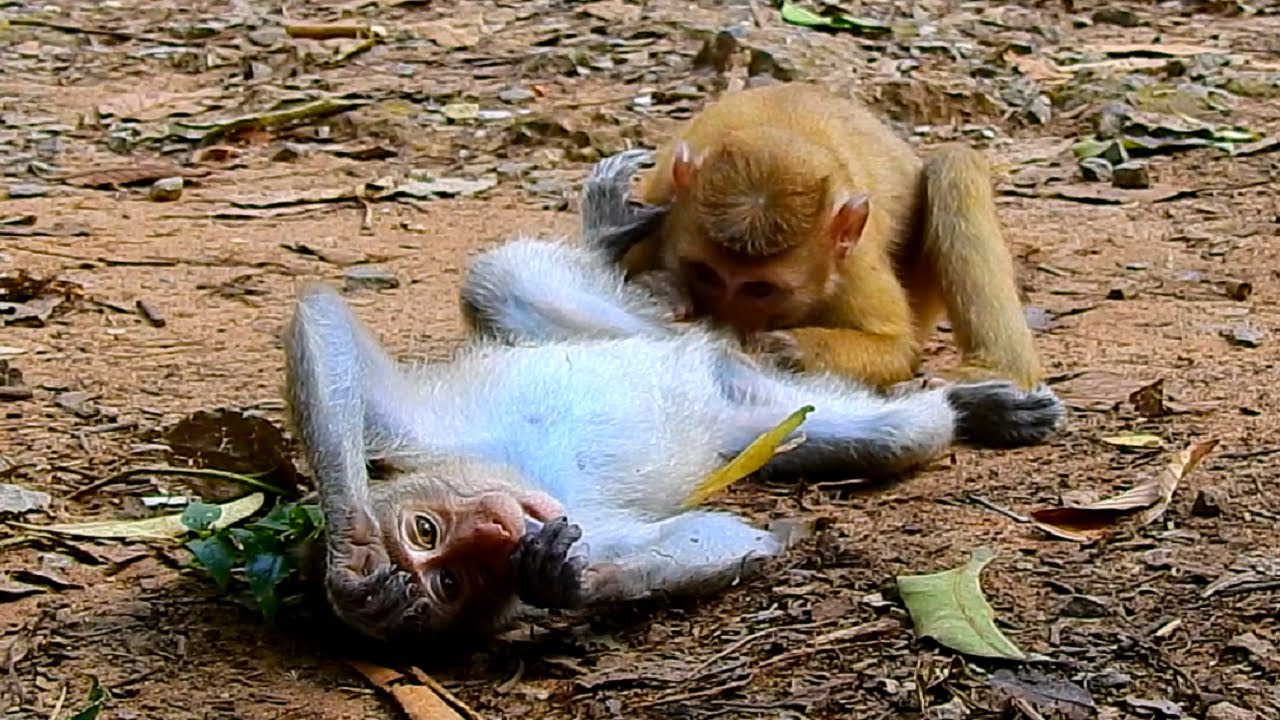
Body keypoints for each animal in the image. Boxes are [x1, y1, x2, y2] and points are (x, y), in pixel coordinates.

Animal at [286, 224, 1064, 644]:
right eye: (454, 580)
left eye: (423, 533)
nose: (493, 532)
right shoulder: (579, 523)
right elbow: (725, 540)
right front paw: (567, 580)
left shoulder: (424, 433)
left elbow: (330, 330)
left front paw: (355, 562)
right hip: (753, 422)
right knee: (895, 434)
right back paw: (961, 410)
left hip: (617, 333)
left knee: (500, 279)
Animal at [596, 82, 1043, 391]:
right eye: (706, 274)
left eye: (761, 290)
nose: (728, 324)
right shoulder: (658, 206)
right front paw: (660, 292)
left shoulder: (852, 259)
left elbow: (897, 348)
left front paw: (789, 352)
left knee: (953, 165)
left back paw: (1000, 372)